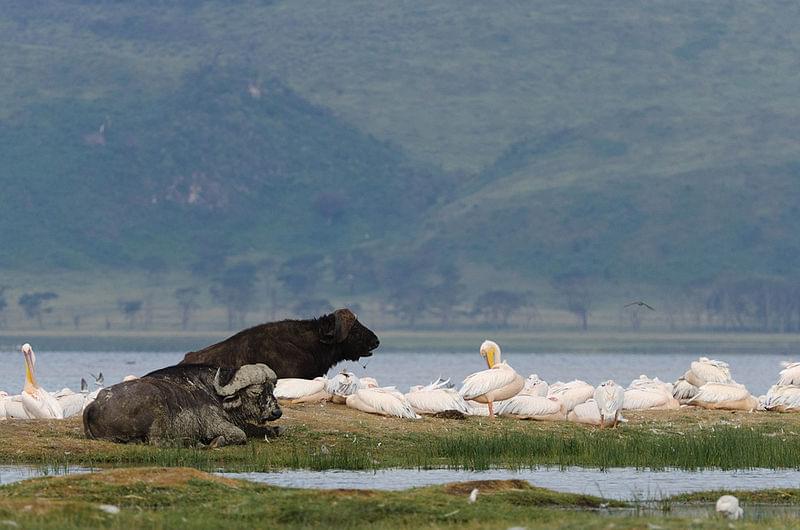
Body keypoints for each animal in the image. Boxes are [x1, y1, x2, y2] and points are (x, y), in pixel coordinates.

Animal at [83, 360, 282, 444]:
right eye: (255, 391)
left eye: (272, 388)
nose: (277, 412)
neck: (214, 392)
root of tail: (94, 405)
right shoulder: (216, 425)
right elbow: (240, 435)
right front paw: (215, 442)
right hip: (158, 409)